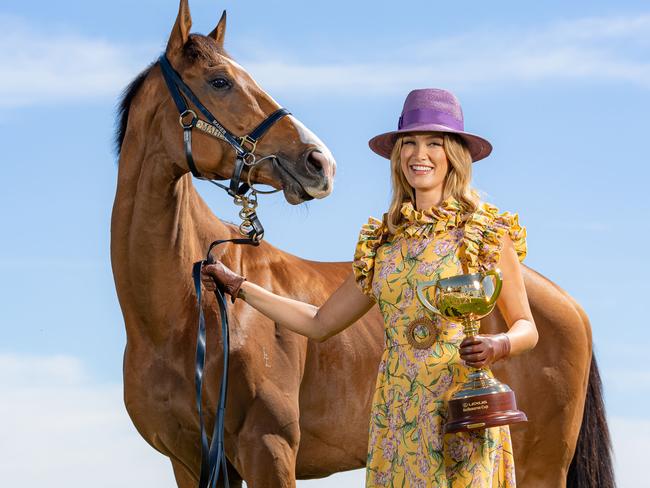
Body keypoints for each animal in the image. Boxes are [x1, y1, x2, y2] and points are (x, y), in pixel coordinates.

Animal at [111, 1, 612, 486]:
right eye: (220, 82)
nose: (319, 162)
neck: (181, 315)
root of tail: (569, 305)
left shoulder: (267, 448)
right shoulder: (191, 459)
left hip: (541, 466)